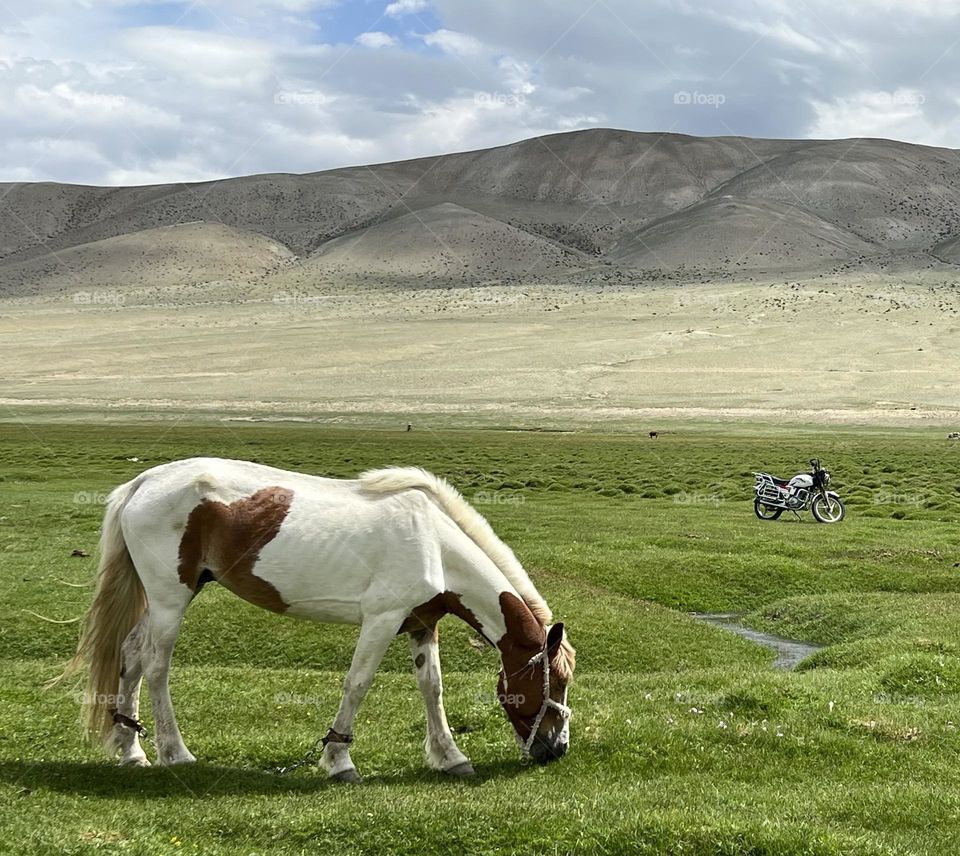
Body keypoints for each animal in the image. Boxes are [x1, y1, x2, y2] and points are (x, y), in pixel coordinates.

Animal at [60, 458, 576, 780]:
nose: (556, 749)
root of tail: (143, 483)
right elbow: (357, 684)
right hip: (171, 599)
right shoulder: (381, 620)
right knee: (155, 665)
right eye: (556, 682)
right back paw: (175, 752)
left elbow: (432, 689)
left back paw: (131, 750)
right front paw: (339, 760)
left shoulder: (420, 624)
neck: (434, 541)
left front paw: (450, 758)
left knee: (129, 655)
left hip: (158, 600)